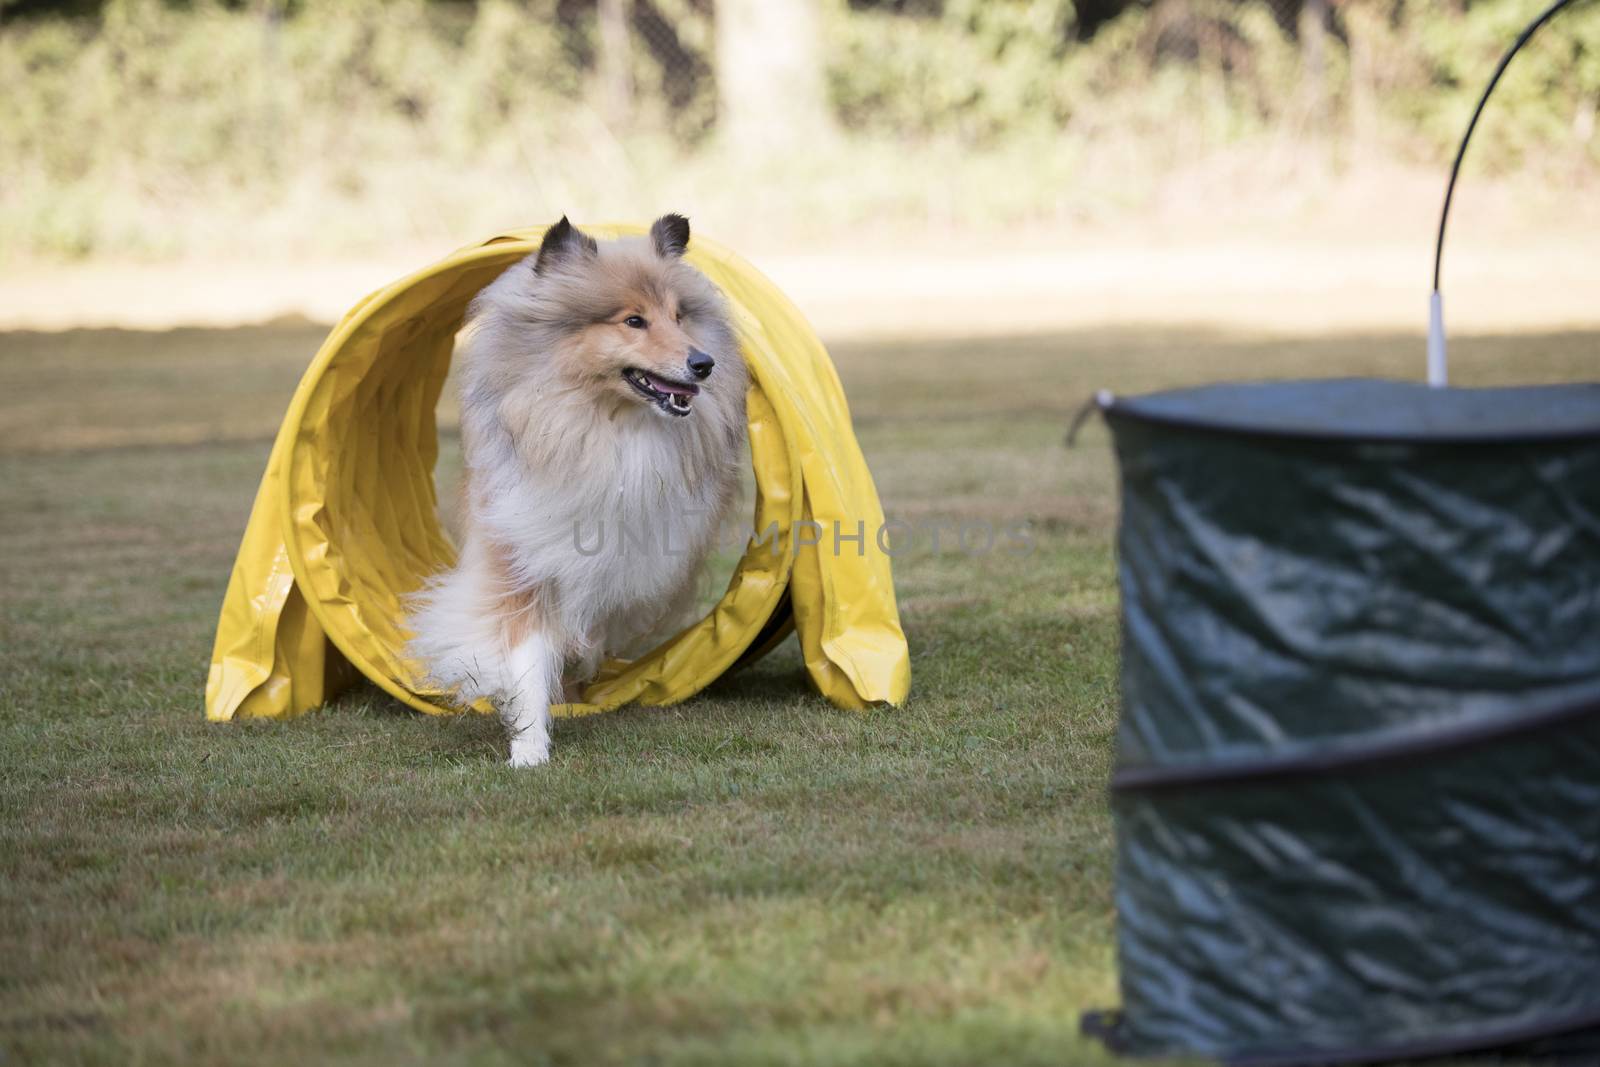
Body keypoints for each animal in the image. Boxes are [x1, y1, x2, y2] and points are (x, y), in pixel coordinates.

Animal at [403, 217, 745, 767]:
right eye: (633, 321)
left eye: (679, 316)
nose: (704, 363)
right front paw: (529, 748)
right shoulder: (522, 555)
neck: (603, 425)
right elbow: (524, 655)